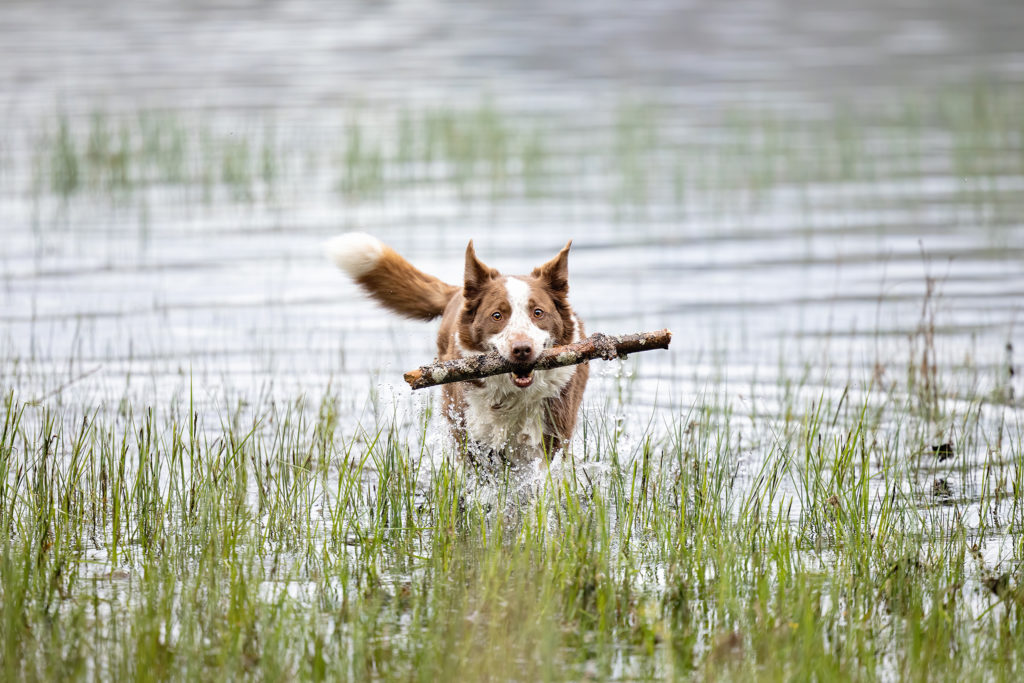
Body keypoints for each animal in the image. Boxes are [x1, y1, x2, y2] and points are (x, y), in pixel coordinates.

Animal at [323, 233, 589, 464]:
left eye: (538, 312)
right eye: (497, 315)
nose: (522, 349)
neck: (511, 394)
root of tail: (457, 290)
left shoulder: (550, 435)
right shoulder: (472, 436)